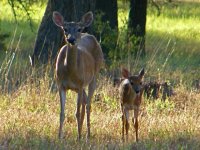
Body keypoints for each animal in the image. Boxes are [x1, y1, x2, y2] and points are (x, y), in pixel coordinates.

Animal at [52, 10, 103, 141]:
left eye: (79, 29)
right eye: (65, 29)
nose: (71, 39)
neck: (70, 72)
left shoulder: (80, 84)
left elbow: (77, 112)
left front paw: (78, 137)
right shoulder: (61, 85)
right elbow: (62, 112)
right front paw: (59, 137)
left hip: (94, 76)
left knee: (88, 104)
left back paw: (87, 135)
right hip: (80, 86)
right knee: (85, 101)